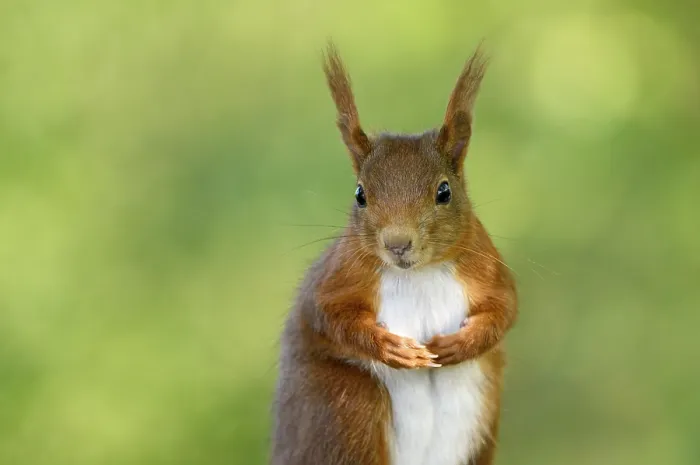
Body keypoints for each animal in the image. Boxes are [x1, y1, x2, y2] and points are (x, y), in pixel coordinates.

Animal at [271, 42, 518, 465]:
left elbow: (505, 308)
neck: (418, 274)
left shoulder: (486, 269)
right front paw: (394, 349)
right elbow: (327, 314)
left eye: (444, 191)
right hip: (349, 406)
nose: (397, 244)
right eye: (360, 194)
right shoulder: (338, 277)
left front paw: (458, 345)